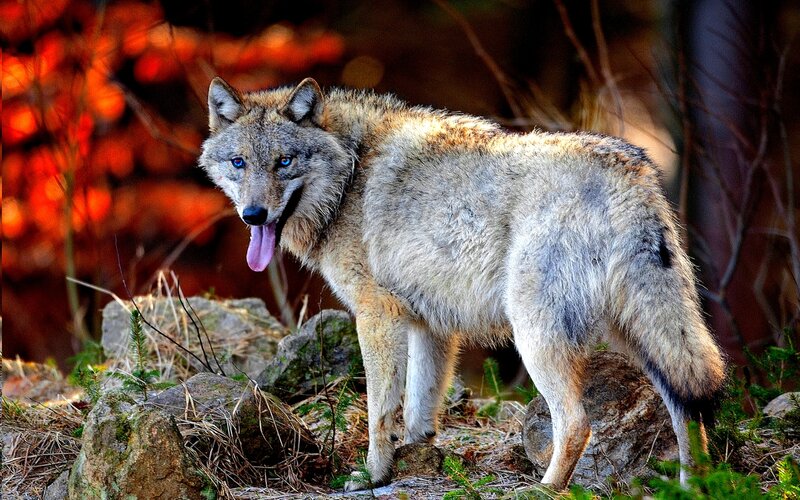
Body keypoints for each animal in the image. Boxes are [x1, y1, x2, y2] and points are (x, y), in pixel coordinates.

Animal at [199, 77, 726, 491]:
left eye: (284, 161)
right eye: (239, 163)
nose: (254, 215)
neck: (349, 175)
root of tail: (631, 173)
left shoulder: (377, 317)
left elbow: (379, 411)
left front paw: (372, 475)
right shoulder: (429, 327)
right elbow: (419, 408)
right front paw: (414, 458)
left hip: (537, 337)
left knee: (577, 424)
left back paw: (544, 489)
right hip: (641, 337)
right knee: (688, 409)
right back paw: (696, 486)